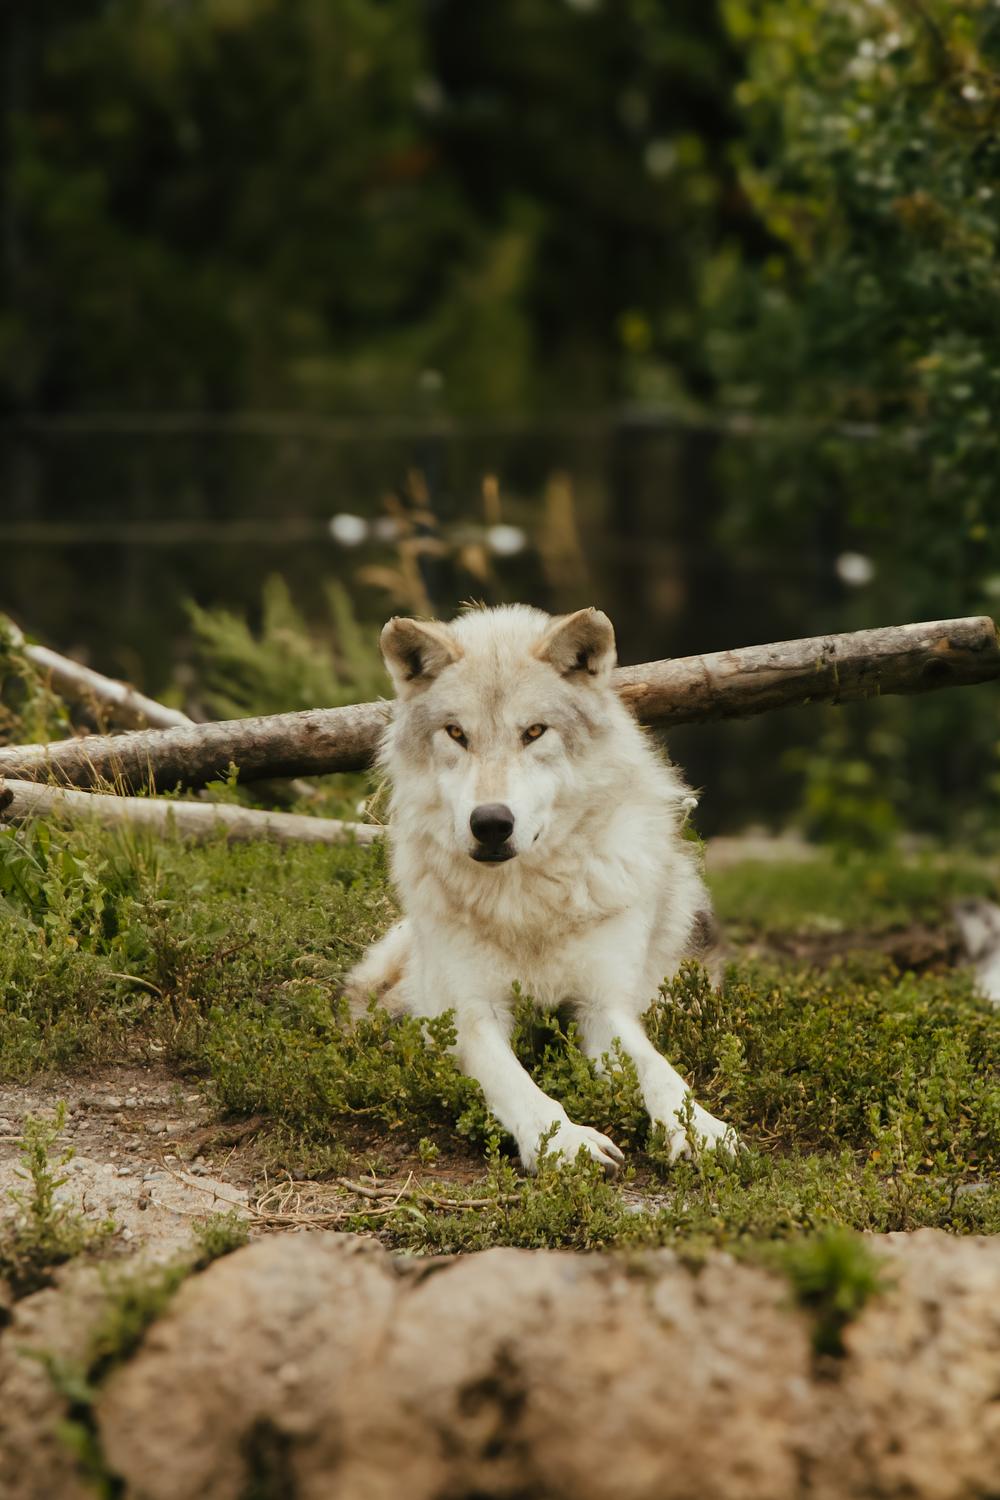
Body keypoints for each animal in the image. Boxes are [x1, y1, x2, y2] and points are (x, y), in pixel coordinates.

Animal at [346, 604, 737, 1173]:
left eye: (534, 731)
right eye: (456, 733)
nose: (490, 823)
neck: (524, 904)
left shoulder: (603, 1007)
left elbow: (659, 1070)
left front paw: (701, 1127)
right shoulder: (471, 1014)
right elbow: (516, 1084)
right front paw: (564, 1142)